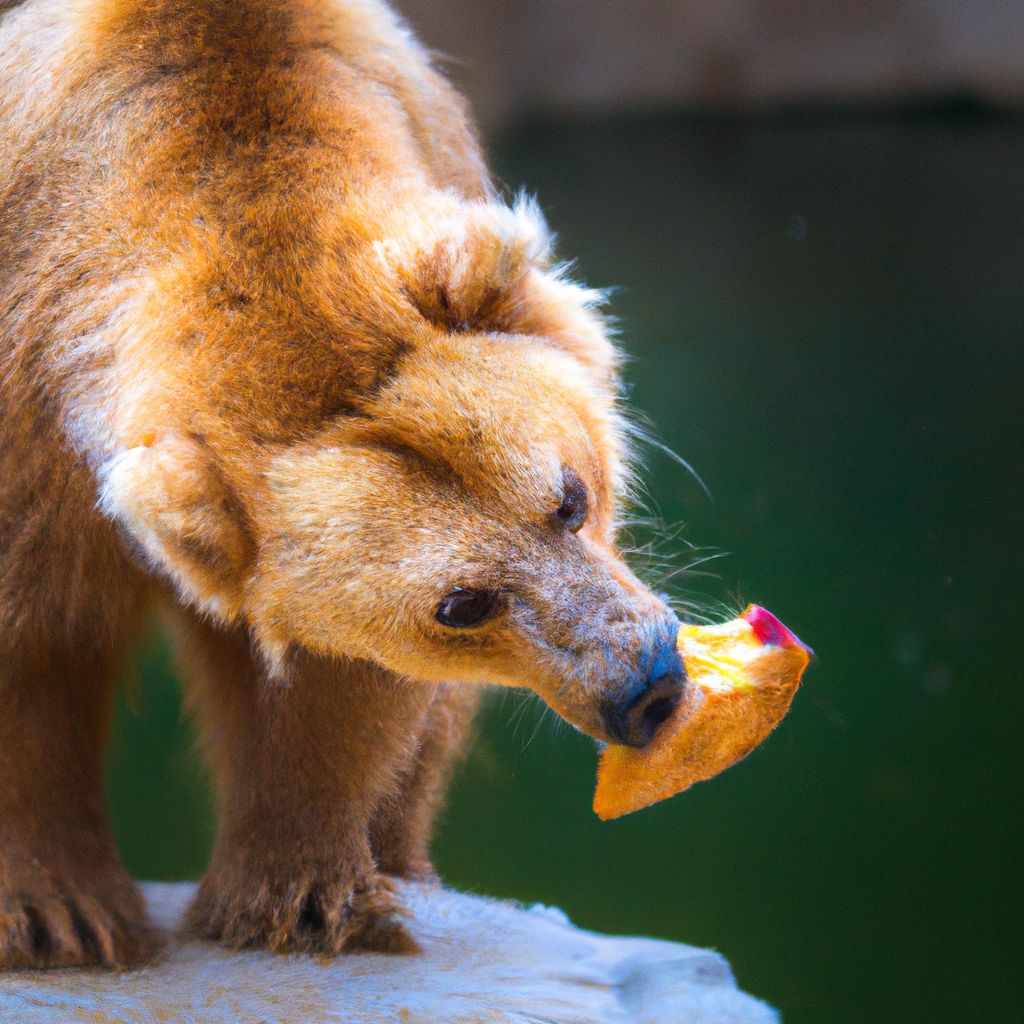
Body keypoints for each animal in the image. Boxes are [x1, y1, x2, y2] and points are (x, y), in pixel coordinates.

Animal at [2, 0, 688, 962]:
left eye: (569, 497)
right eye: (461, 602)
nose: (647, 684)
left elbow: (334, 688)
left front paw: (298, 895)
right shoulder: (31, 423)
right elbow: (33, 642)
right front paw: (58, 913)